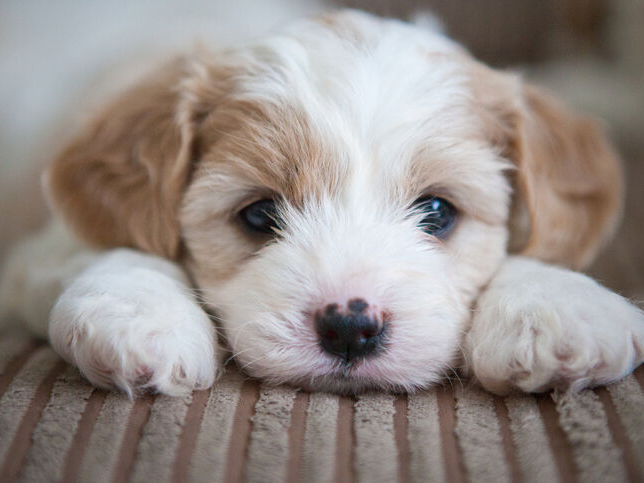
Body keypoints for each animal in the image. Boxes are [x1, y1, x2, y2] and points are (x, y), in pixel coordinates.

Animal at [1, 10, 644, 398]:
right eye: (259, 215)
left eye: (438, 213)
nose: (350, 326)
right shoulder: (36, 251)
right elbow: (113, 246)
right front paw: (141, 311)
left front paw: (554, 304)